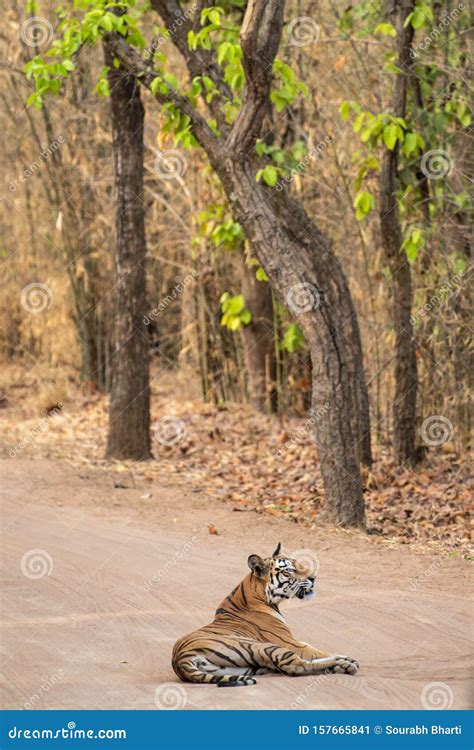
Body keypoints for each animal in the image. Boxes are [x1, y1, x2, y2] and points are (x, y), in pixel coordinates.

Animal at [172, 544, 358, 692]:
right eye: (289, 570)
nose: (314, 578)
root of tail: (180, 659)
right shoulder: (289, 642)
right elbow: (315, 650)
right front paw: (344, 657)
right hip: (263, 646)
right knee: (296, 666)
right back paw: (345, 664)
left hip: (243, 668)